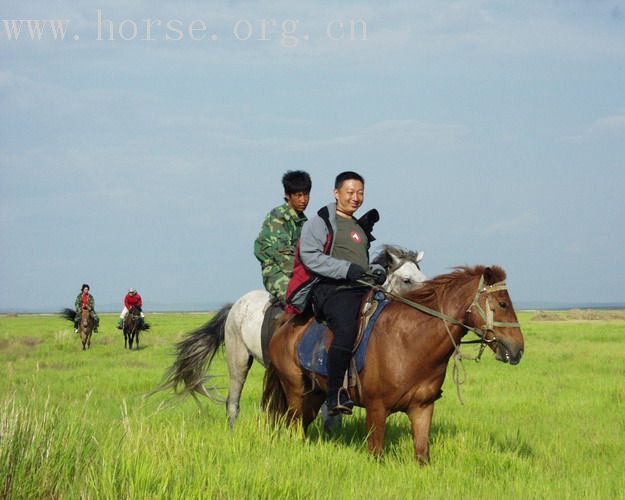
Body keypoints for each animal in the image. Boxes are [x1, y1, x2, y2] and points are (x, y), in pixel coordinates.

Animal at [260, 266, 524, 464]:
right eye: (502, 304)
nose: (518, 350)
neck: (408, 341)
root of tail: (286, 325)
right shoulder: (377, 410)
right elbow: (376, 453)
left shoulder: (422, 408)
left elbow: (422, 455)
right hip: (295, 390)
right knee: (294, 425)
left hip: (315, 394)